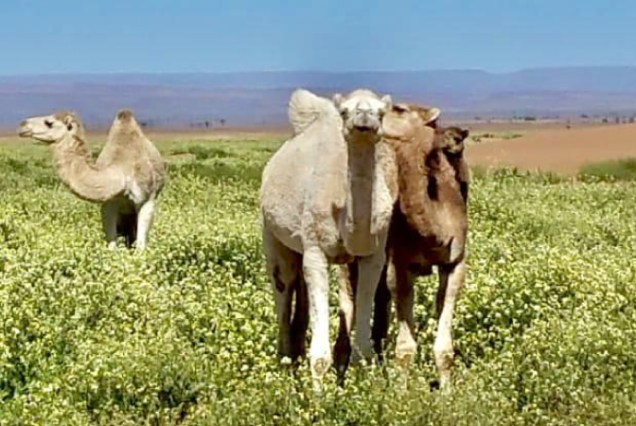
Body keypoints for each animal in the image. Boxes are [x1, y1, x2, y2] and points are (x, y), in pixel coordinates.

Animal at [17, 110, 165, 249]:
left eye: (49, 123)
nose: (22, 125)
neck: (121, 172)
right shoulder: (108, 203)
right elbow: (112, 245)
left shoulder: (146, 200)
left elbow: (141, 246)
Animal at [260, 88, 397, 385]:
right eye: (345, 111)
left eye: (382, 112)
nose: (364, 117)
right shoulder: (315, 251)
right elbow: (320, 356)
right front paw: (319, 395)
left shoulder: (374, 255)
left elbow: (364, 345)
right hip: (271, 234)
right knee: (283, 285)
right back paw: (285, 361)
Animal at [335, 104, 470, 390]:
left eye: (399, 109)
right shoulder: (401, 264)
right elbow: (406, 348)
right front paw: (401, 393)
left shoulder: (455, 262)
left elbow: (444, 346)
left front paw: (447, 393)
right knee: (349, 301)